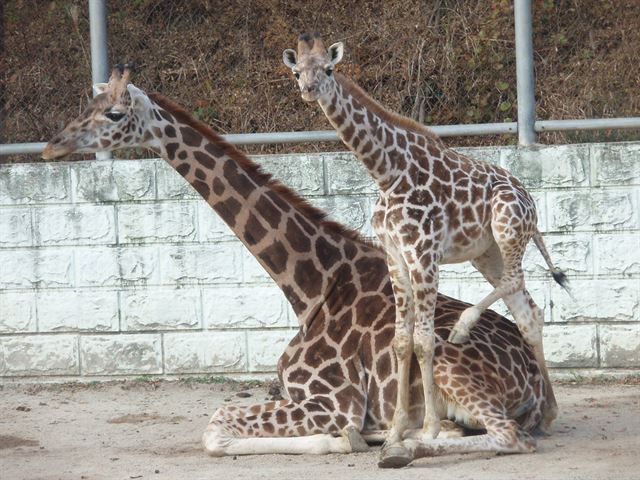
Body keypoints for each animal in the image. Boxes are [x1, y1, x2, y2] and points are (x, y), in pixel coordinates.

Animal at [42, 65, 548, 466]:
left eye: (113, 114)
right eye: (90, 103)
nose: (51, 146)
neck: (309, 288)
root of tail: (534, 380)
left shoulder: (332, 401)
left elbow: (215, 426)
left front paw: (344, 440)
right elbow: (218, 420)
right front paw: (360, 436)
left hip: (453, 369)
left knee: (509, 436)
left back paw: (402, 446)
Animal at [282, 32, 568, 462]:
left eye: (329, 69)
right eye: (297, 71)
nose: (308, 90)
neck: (386, 172)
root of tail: (529, 198)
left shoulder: (424, 254)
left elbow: (425, 341)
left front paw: (429, 427)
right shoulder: (396, 257)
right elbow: (402, 342)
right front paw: (397, 430)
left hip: (507, 229)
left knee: (516, 284)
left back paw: (464, 329)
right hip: (486, 253)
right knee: (527, 309)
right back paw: (548, 411)